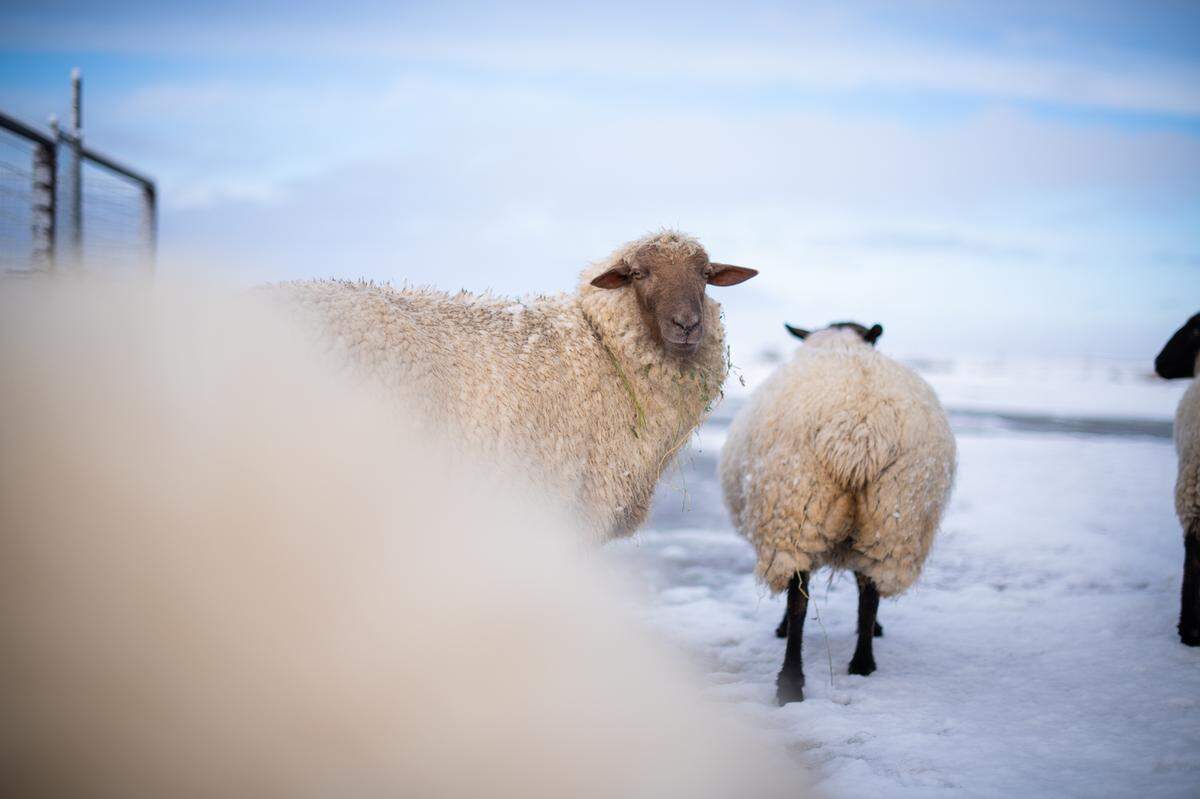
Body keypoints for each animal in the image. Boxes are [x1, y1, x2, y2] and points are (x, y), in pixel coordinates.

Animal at [719, 321, 956, 704]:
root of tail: (859, 432)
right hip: (893, 517)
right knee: (869, 591)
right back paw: (863, 662)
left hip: (795, 509)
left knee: (800, 599)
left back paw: (790, 681)